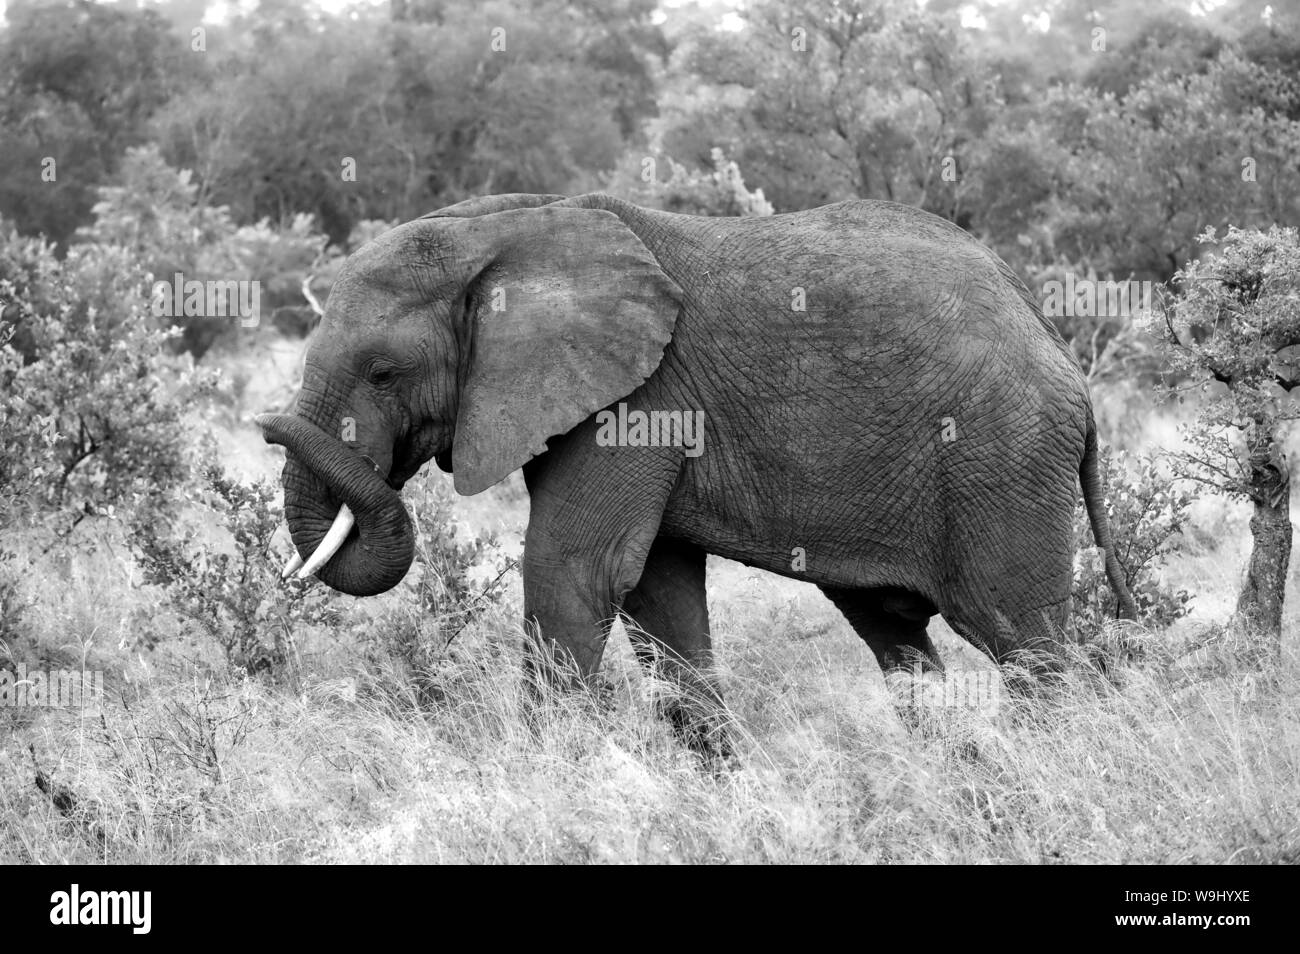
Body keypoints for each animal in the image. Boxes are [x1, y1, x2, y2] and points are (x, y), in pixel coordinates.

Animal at [257, 191, 1137, 749]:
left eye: (383, 374)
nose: (268, 424)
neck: (501, 229)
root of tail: (1056, 341)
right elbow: (656, 592)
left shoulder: (636, 396)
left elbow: (573, 571)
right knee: (898, 637)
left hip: (1002, 456)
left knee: (1022, 639)